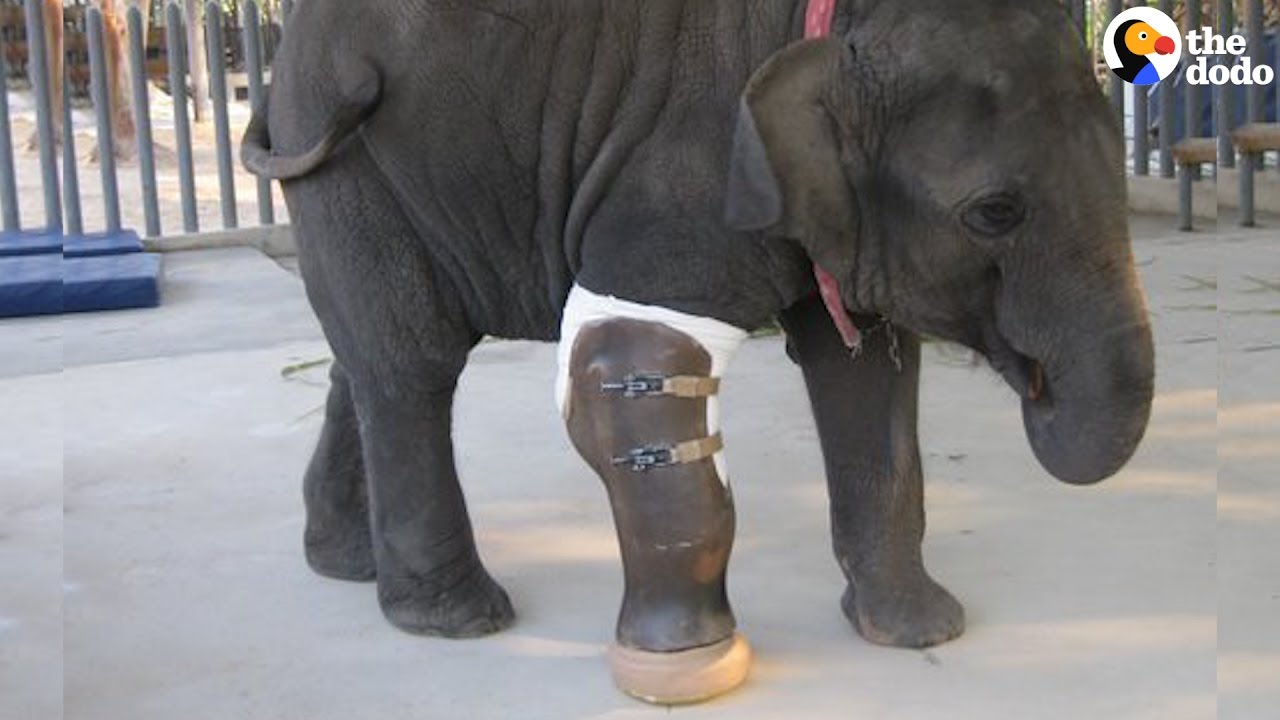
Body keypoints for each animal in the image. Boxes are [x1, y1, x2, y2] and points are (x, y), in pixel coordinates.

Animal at [243, 0, 1154, 703]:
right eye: (995, 213)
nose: (1036, 382)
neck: (834, 23)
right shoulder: (679, 166)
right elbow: (628, 364)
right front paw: (688, 667)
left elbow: (865, 373)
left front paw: (920, 632)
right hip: (350, 161)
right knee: (414, 362)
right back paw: (458, 619)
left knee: (368, 354)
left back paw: (347, 565)